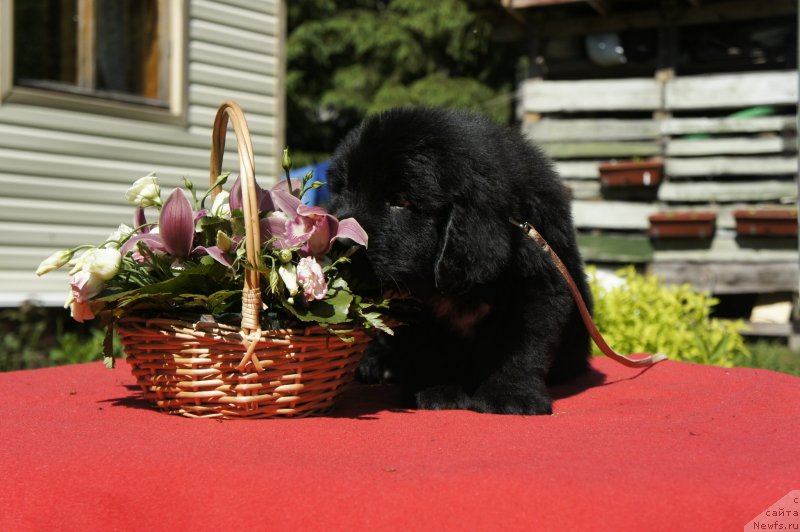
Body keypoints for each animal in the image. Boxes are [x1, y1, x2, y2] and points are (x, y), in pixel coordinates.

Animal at [326, 108, 592, 416]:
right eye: (345, 190)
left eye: (400, 201)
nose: (339, 241)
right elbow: (426, 349)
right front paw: (437, 391)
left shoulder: (537, 289)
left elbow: (522, 347)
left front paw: (510, 395)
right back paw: (378, 365)